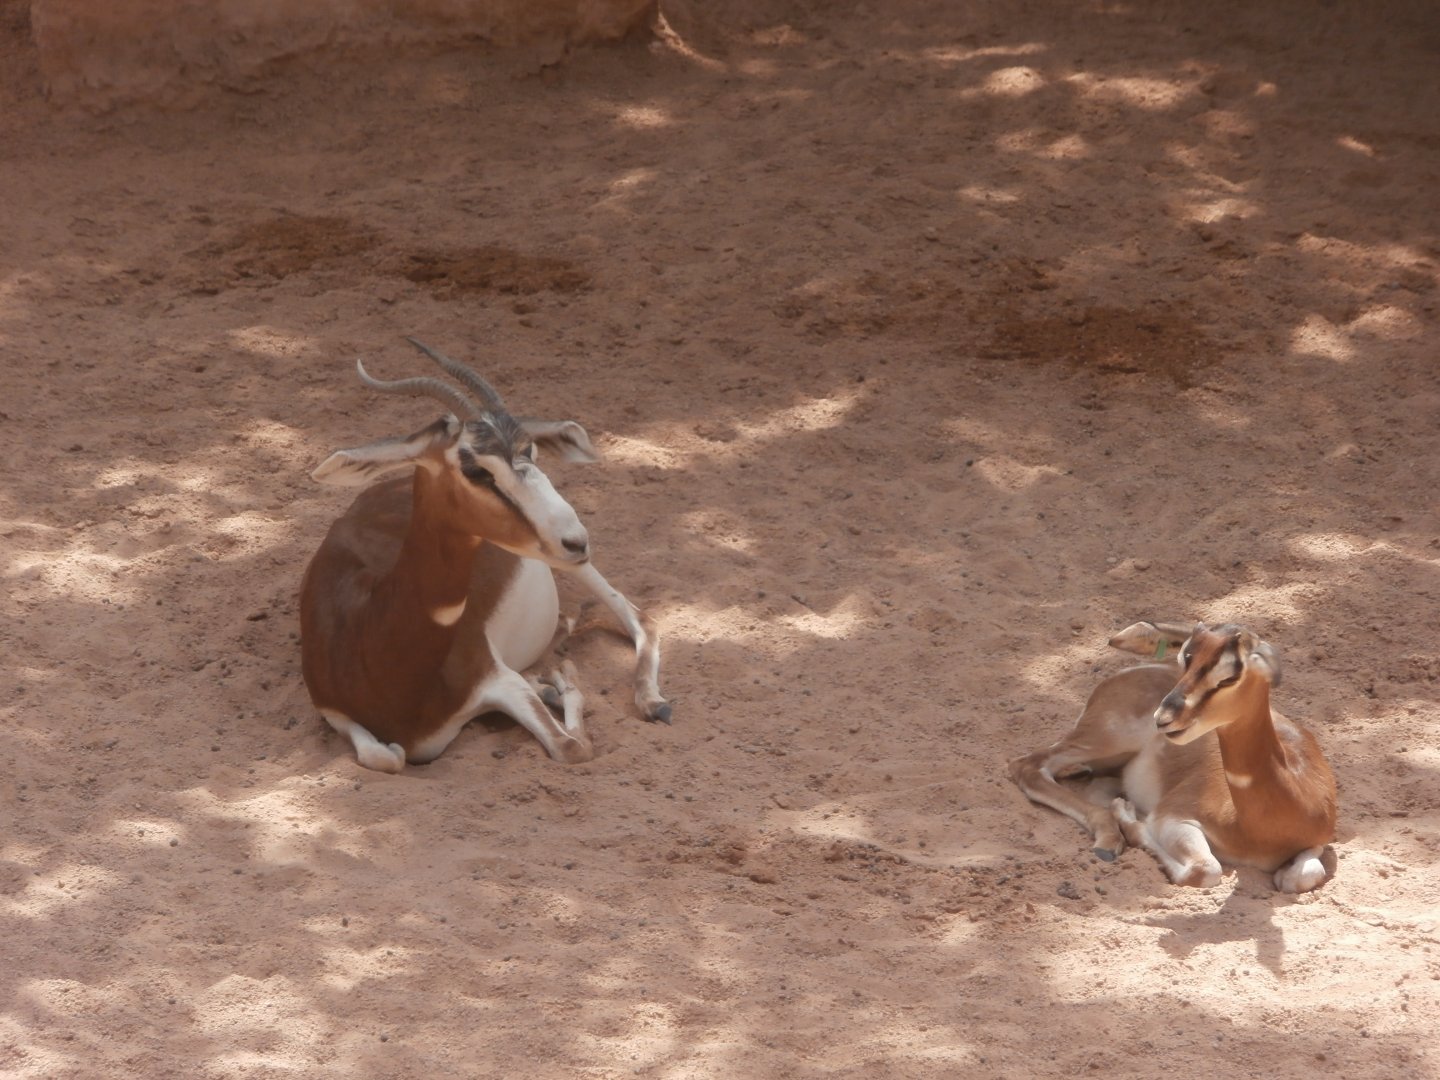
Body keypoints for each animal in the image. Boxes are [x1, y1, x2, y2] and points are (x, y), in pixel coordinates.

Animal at [299, 338, 669, 772]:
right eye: (476, 470)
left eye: (532, 453)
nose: (576, 540)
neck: (367, 639)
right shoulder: (330, 707)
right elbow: (384, 756)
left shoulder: (500, 679)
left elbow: (572, 746)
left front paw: (561, 685)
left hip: (564, 562)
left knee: (640, 618)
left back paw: (652, 701)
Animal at [1010, 621, 1338, 893]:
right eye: (1186, 658)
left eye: (1230, 676)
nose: (1165, 717)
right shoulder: (1173, 817)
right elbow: (1206, 870)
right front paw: (1129, 817)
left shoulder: (1317, 842)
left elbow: (1302, 877)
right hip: (1106, 740)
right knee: (1029, 766)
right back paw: (1108, 838)